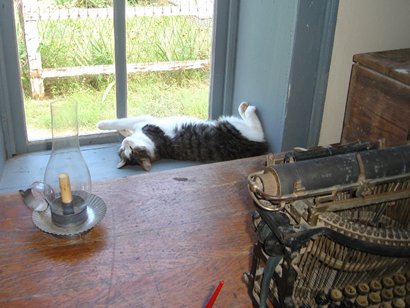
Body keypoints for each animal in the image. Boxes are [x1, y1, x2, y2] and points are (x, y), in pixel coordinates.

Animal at [97, 101, 270, 171]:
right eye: (125, 150)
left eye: (130, 149)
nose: (126, 143)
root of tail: (259, 149)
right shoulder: (145, 121)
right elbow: (122, 123)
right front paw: (106, 126)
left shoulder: (143, 122)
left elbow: (122, 124)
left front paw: (104, 125)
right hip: (234, 126)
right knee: (257, 128)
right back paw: (247, 108)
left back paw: (246, 107)